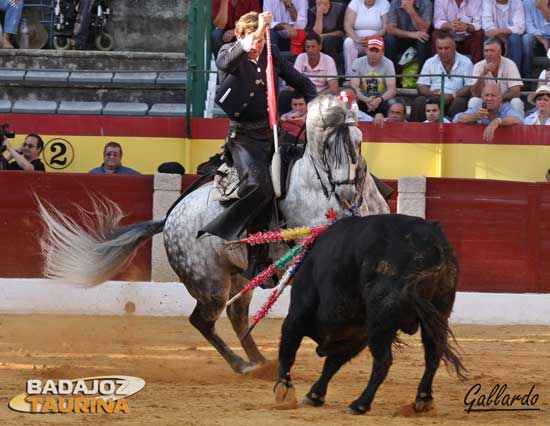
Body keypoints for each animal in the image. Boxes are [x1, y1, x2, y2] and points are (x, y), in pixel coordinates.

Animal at [40, 95, 388, 372]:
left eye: (357, 142)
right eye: (327, 146)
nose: (345, 194)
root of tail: (169, 219)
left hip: (240, 275)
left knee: (236, 314)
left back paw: (260, 362)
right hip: (209, 282)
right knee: (204, 320)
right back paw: (244, 366)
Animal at [274, 215, 468, 414]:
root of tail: (431, 242)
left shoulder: (297, 315)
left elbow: (288, 352)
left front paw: (284, 390)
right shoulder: (357, 337)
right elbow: (332, 364)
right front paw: (315, 394)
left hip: (380, 319)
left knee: (383, 361)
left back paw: (360, 403)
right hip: (438, 313)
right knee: (433, 355)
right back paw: (423, 398)